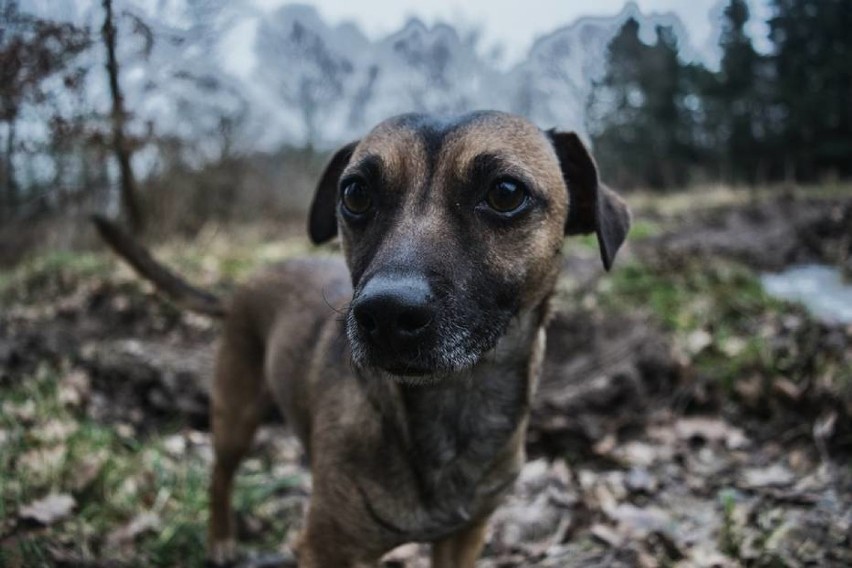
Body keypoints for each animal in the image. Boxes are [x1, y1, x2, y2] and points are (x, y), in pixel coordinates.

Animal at [93, 108, 628, 564]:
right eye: (355, 194)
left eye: (505, 193)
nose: (386, 314)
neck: (451, 405)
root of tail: (248, 282)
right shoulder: (328, 551)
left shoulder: (463, 538)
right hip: (235, 415)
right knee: (220, 474)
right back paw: (221, 539)